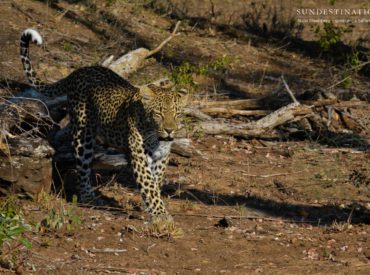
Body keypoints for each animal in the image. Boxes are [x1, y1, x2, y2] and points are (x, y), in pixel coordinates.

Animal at [19, 28, 186, 222]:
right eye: (158, 114)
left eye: (177, 114)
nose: (170, 130)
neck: (157, 138)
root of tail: (79, 72)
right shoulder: (140, 155)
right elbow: (149, 184)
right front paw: (161, 214)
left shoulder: (161, 157)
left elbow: (156, 182)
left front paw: (152, 208)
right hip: (83, 135)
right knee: (82, 169)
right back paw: (89, 197)